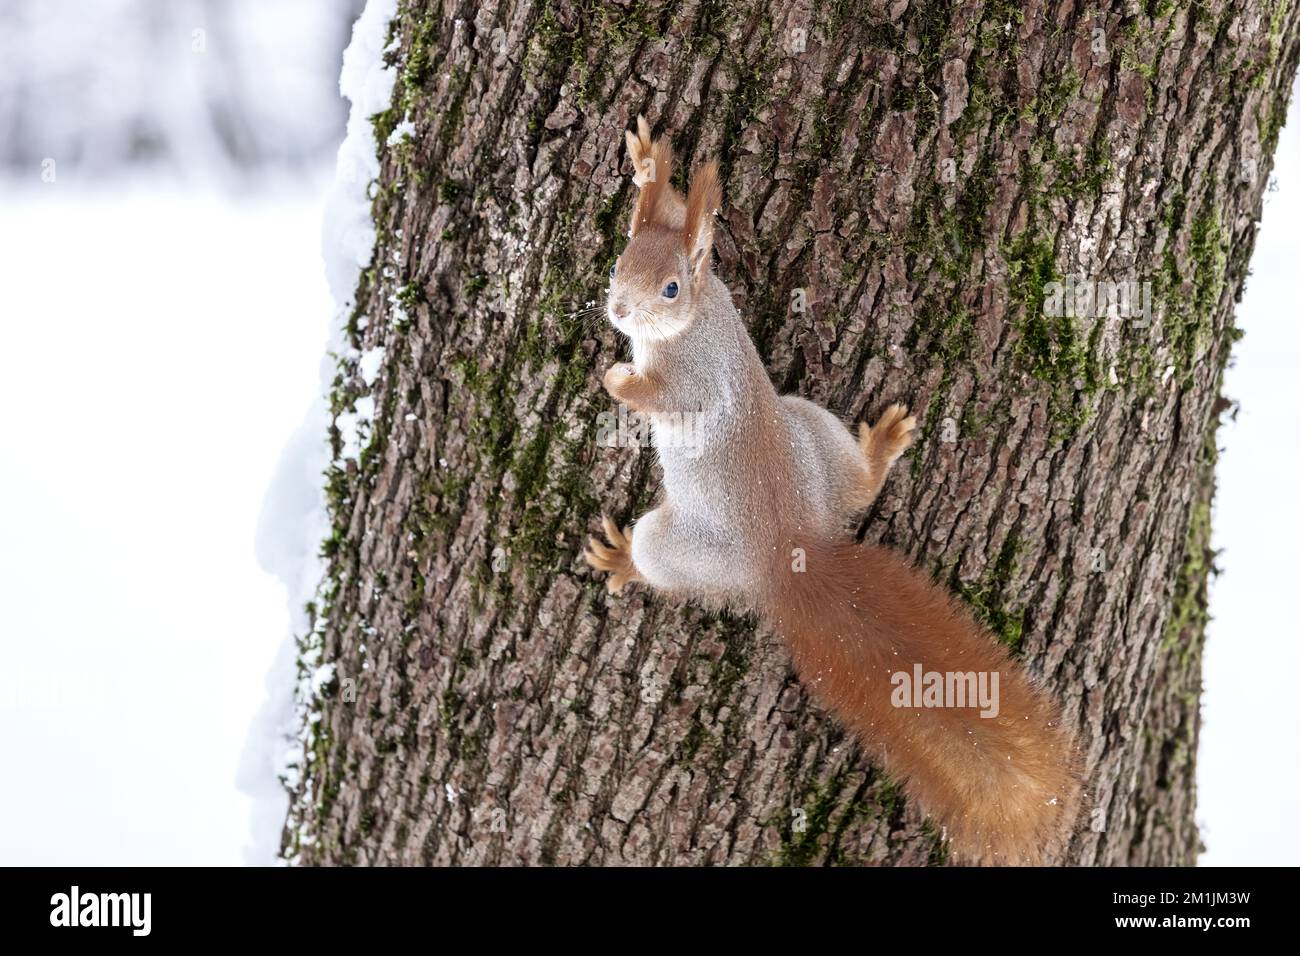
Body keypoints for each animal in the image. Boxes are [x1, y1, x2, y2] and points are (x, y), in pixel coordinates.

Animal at [585, 117, 1081, 868]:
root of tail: (794, 554)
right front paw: (648, 166)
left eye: (669, 288)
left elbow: (666, 398)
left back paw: (624, 562)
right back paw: (878, 453)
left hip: (683, 543)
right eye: (621, 260)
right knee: (856, 488)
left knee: (662, 563)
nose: (616, 309)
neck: (698, 317)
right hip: (811, 431)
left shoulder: (694, 381)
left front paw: (622, 383)